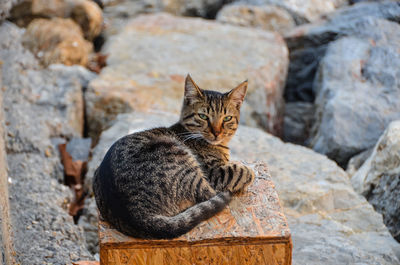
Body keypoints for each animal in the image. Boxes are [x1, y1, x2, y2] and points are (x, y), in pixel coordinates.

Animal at [92, 73, 255, 237]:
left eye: (227, 118)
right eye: (203, 116)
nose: (216, 133)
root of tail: (137, 215)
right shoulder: (214, 173)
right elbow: (244, 172)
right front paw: (247, 171)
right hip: (181, 159)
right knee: (209, 195)